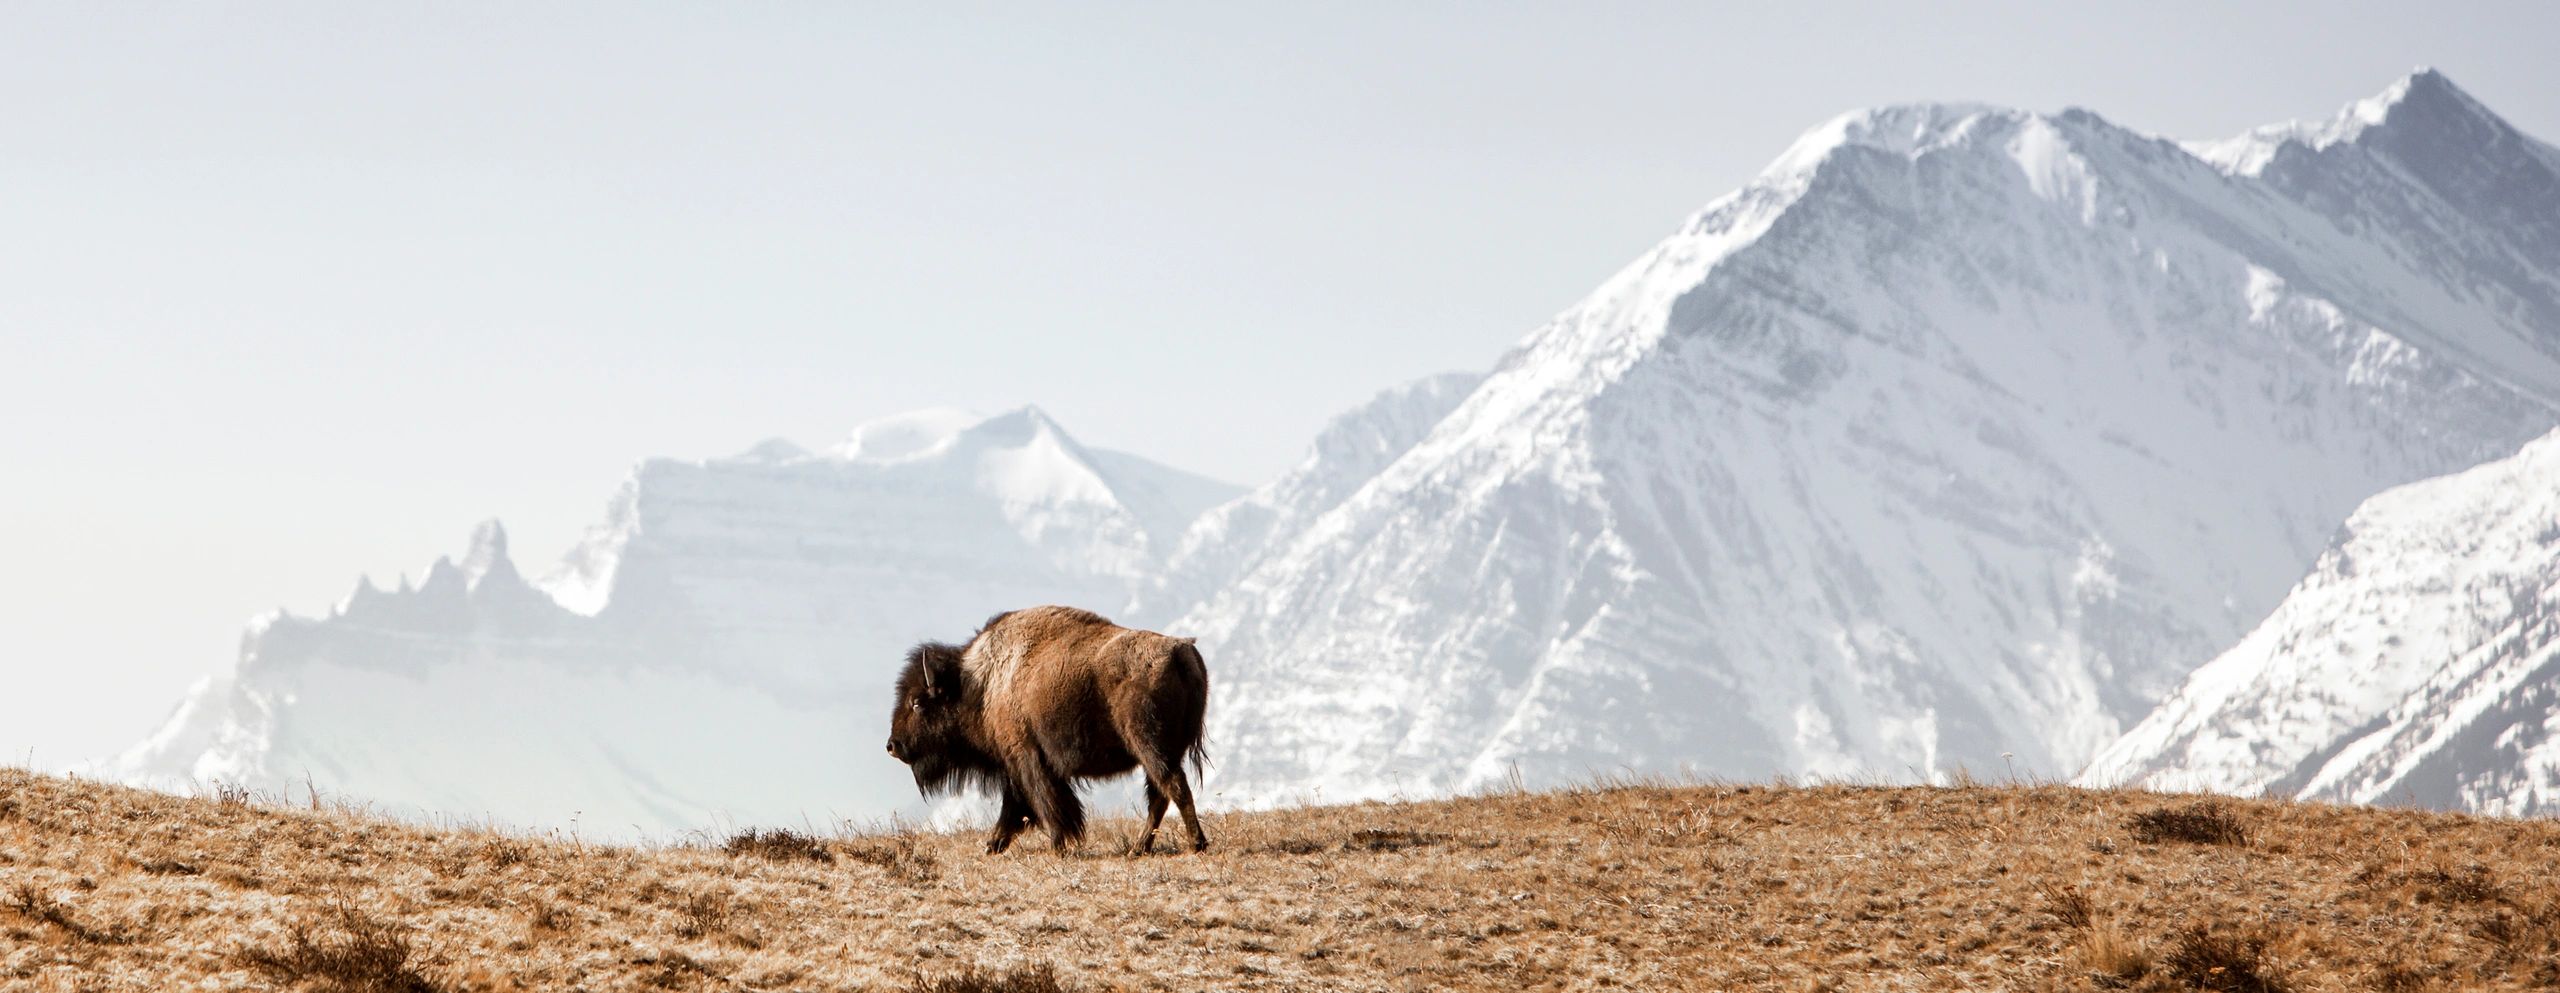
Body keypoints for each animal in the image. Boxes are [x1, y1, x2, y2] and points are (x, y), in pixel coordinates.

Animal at [887, 606, 1210, 855]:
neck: (981, 685)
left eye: (917, 702)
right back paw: (1139, 849)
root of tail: (1180, 650)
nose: (892, 745)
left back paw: (1195, 844)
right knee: (1160, 795)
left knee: (1173, 787)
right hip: (1163, 752)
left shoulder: (1027, 758)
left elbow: (1045, 804)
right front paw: (993, 845)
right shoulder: (1017, 767)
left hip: (1150, 746)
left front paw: (1057, 846)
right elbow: (1017, 806)